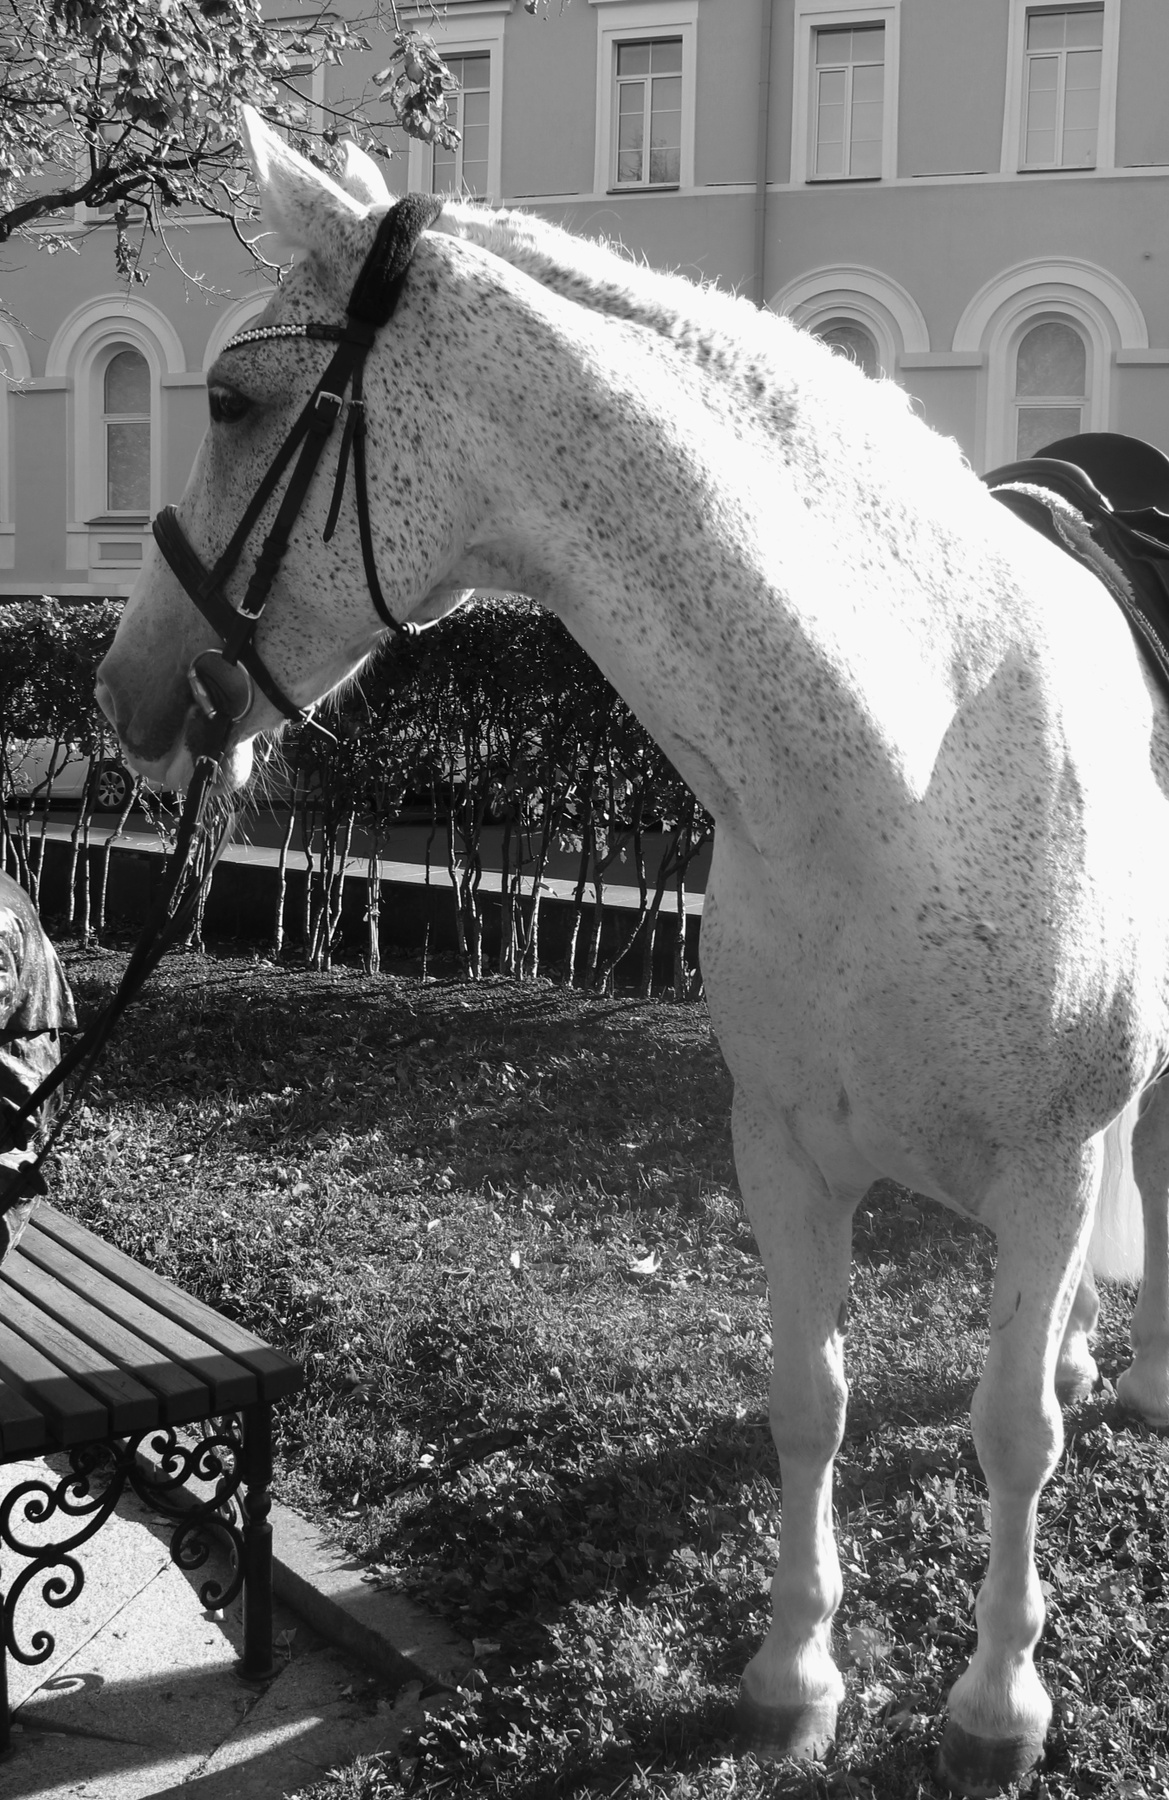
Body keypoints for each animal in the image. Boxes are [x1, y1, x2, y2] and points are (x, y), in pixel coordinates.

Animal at [95, 107, 1169, 1795]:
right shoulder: (783, 1151)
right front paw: (794, 1674)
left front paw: (998, 1700)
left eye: (232, 399)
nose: (123, 690)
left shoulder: (1048, 1165)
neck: (904, 769)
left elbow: (1006, 1437)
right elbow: (807, 1404)